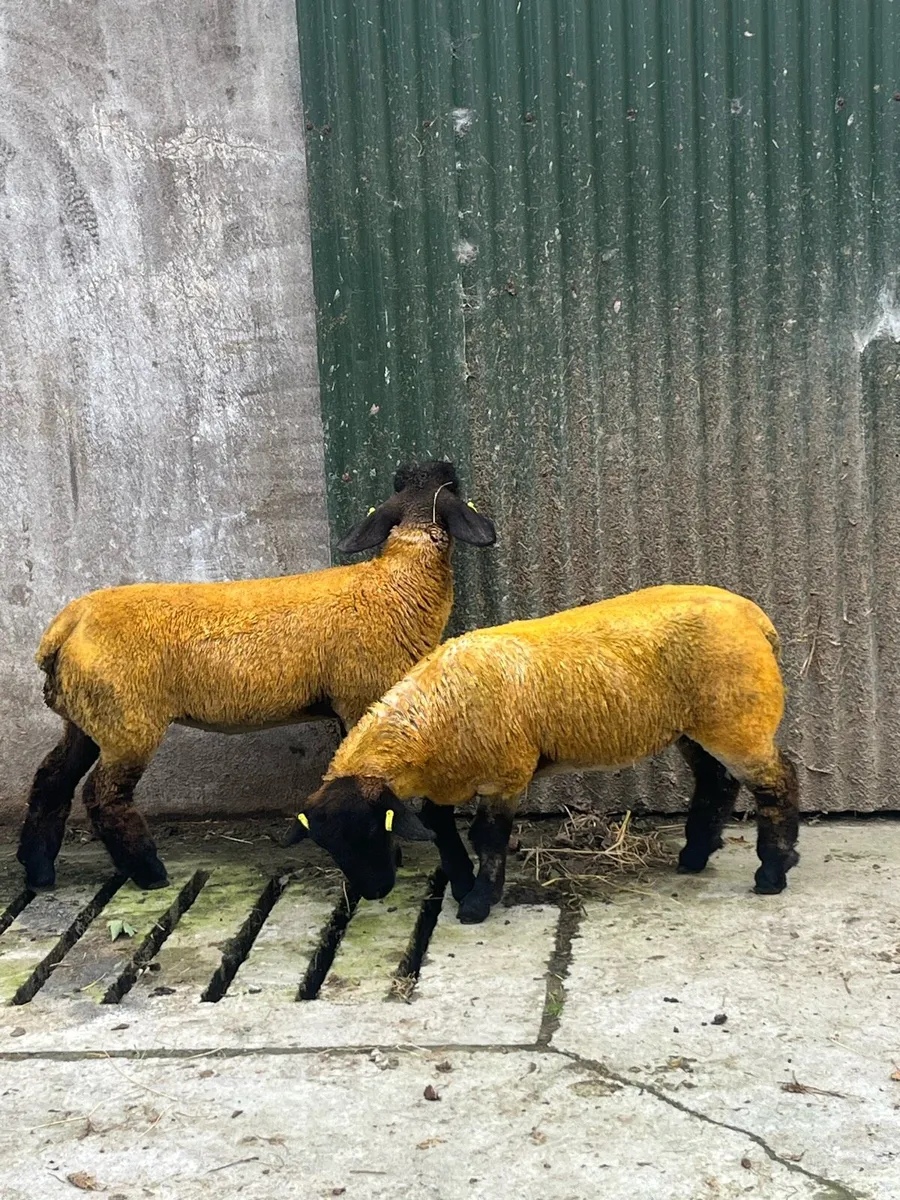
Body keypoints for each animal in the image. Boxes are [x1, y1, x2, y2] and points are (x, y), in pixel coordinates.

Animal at [17, 460, 496, 892]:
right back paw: (148, 873)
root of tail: (66, 625)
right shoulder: (361, 697)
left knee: (50, 782)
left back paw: (38, 871)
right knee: (102, 796)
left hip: (85, 718)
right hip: (127, 721)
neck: (397, 584)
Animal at [286, 584, 800, 923]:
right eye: (327, 845)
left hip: (739, 719)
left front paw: (477, 903)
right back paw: (695, 854)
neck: (431, 718)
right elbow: (441, 830)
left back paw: (773, 872)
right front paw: (461, 884)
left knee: (777, 783)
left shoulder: (506, 773)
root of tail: (756, 618)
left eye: (377, 830)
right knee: (717, 781)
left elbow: (488, 838)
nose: (373, 892)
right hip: (696, 726)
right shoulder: (446, 779)